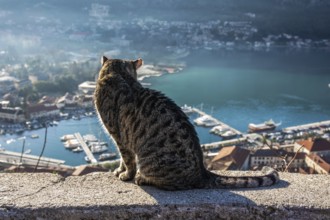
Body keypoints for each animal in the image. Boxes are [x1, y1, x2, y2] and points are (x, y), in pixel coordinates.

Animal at [94, 57, 278, 191]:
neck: (119, 74)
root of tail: (202, 173)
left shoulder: (118, 136)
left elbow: (127, 159)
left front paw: (126, 175)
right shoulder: (122, 138)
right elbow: (122, 159)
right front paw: (120, 170)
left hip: (150, 162)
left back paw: (142, 178)